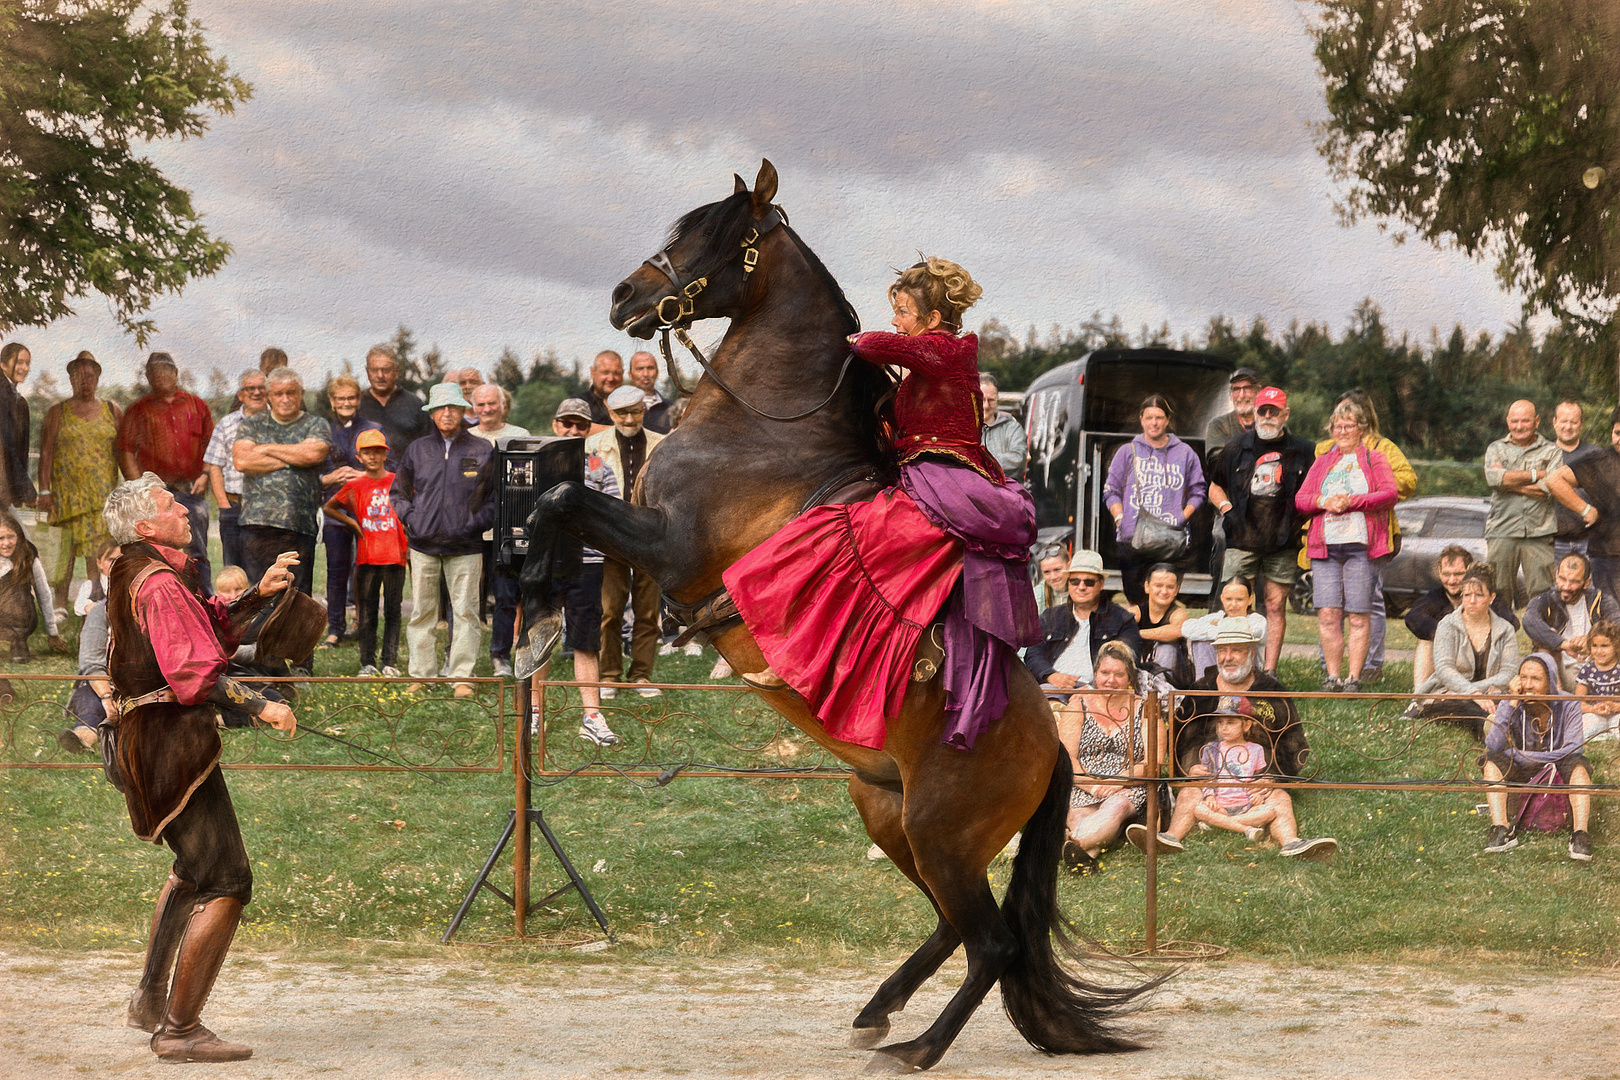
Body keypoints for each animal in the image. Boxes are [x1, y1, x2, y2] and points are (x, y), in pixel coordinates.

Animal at [515, 158, 1153, 1075]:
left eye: (707, 235)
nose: (623, 295)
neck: (767, 428)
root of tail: (1052, 748)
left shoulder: (670, 550)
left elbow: (560, 500)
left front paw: (530, 621)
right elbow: (560, 503)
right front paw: (531, 621)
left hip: (939, 834)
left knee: (992, 944)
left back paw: (916, 1046)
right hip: (889, 816)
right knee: (956, 931)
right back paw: (878, 1011)